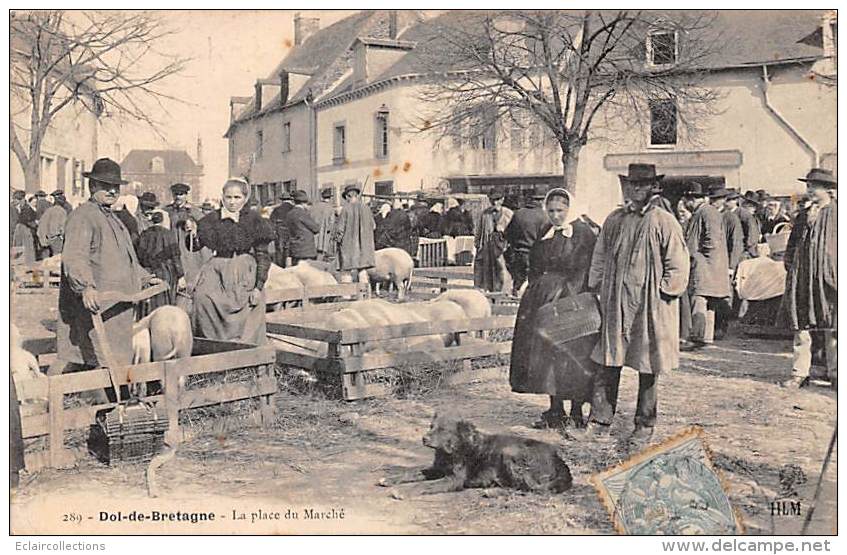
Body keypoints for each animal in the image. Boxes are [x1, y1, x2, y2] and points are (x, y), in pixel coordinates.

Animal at [380, 412, 572, 496]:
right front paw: (390, 479)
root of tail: (558, 458)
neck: (451, 450)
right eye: (431, 426)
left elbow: (423, 485)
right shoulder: (437, 469)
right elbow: (412, 472)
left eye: (442, 430)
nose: (423, 438)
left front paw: (401, 491)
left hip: (509, 453)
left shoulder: (453, 479)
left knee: (528, 488)